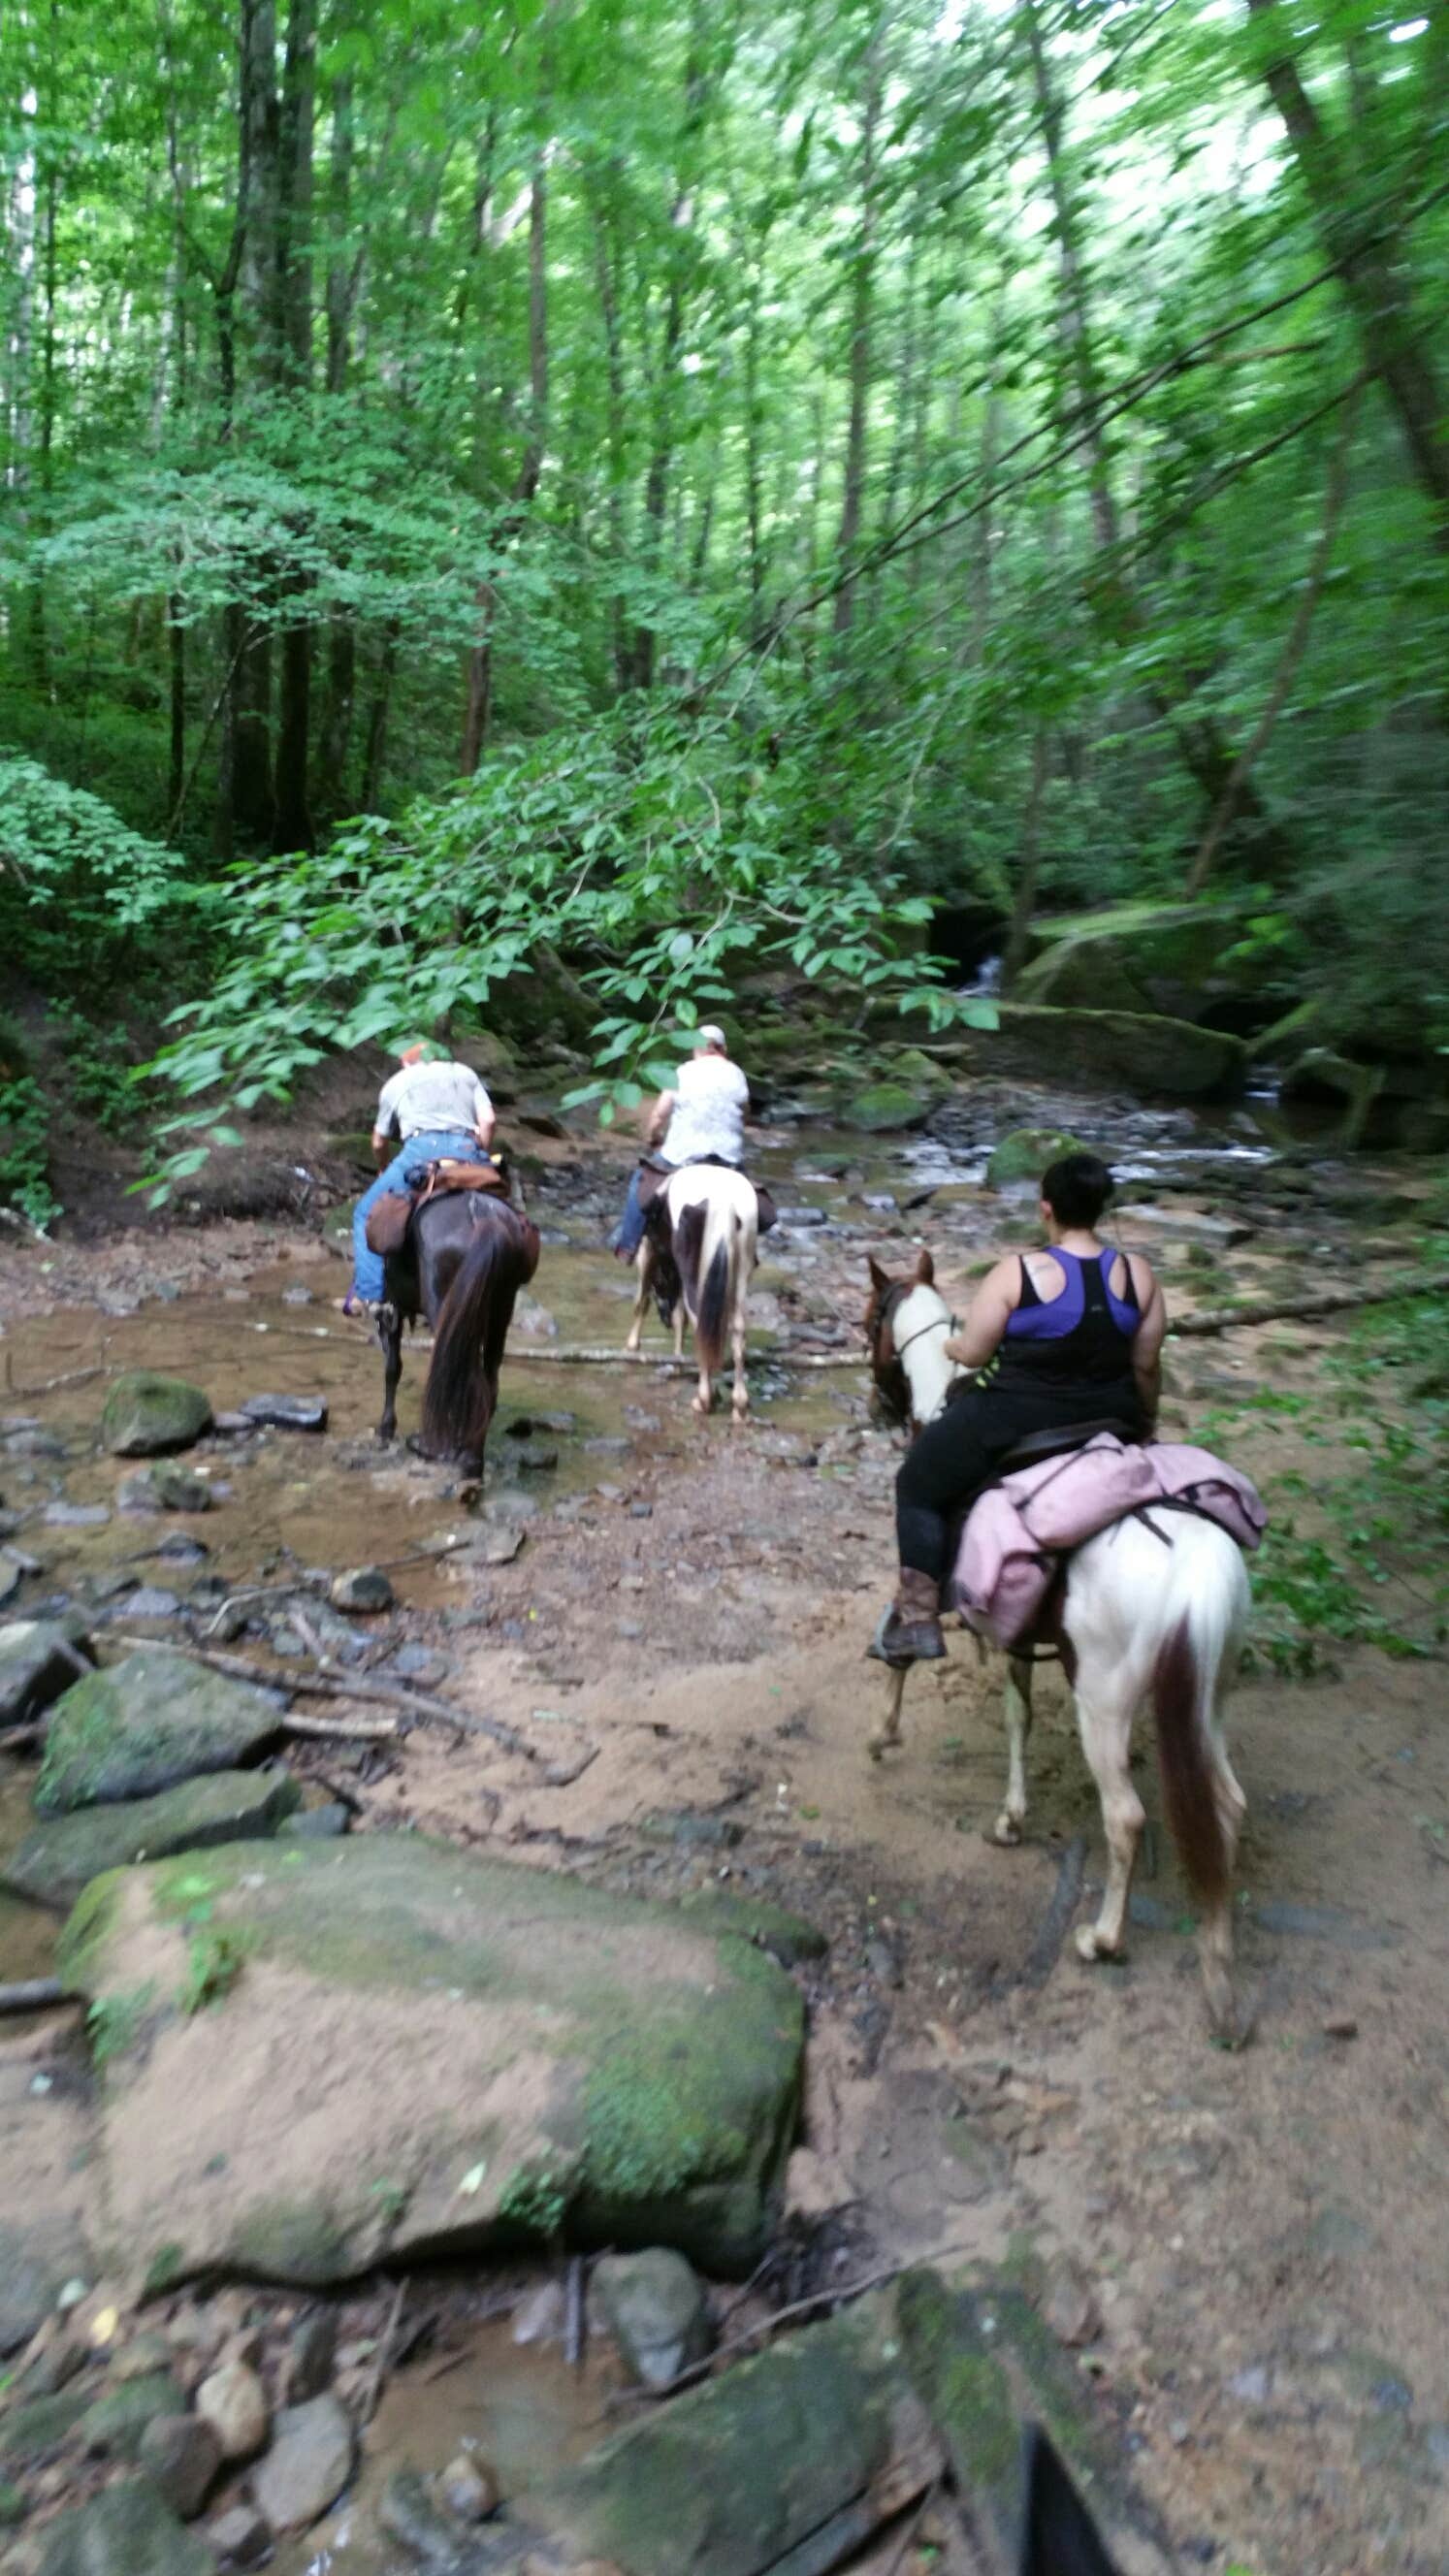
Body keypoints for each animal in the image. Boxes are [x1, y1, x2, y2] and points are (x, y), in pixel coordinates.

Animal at [378, 1184, 541, 1473]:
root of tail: (483, 1214)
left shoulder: (392, 1307)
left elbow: (392, 1368)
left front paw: (386, 1429)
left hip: (444, 1308)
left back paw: (434, 1448)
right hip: (501, 1309)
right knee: (488, 1381)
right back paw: (472, 1456)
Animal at [621, 1164, 757, 1422]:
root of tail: (723, 1200)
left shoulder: (647, 1253)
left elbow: (641, 1303)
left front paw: (632, 1348)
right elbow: (679, 1318)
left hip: (693, 1269)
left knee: (698, 1320)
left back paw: (704, 1399)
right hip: (741, 1269)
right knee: (737, 1328)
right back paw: (739, 1405)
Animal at [860, 1257, 1247, 2040]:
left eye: (867, 1322)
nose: (873, 1406)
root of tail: (1192, 1564)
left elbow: (909, 1642)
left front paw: (887, 1734)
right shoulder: (1015, 1625)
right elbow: (1019, 1716)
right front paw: (1013, 1814)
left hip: (1102, 1701)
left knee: (1125, 1818)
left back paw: (1102, 1938)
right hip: (1209, 1696)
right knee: (1227, 1803)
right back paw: (1220, 1965)